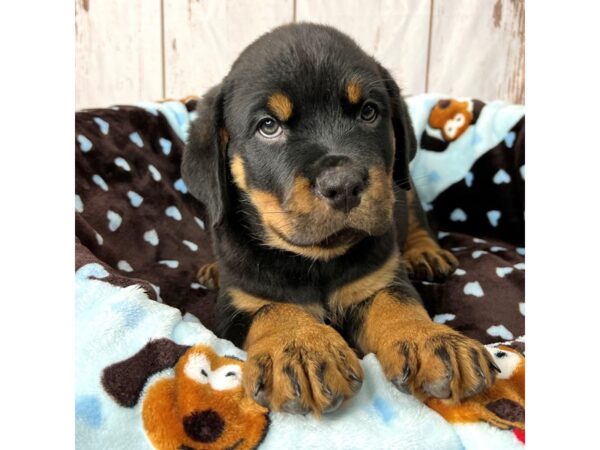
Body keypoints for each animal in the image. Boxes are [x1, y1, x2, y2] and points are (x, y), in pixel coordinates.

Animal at [180, 22, 500, 416]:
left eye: (368, 112)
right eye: (268, 126)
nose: (343, 185)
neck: (317, 260)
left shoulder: (379, 279)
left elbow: (398, 303)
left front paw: (433, 340)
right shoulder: (237, 304)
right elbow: (273, 309)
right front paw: (300, 348)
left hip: (404, 187)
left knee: (417, 222)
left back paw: (425, 253)